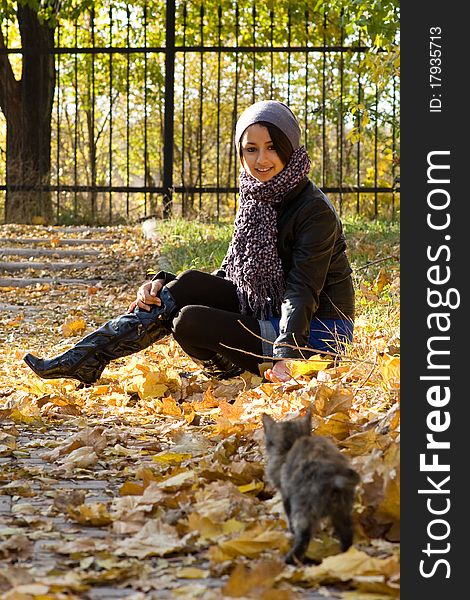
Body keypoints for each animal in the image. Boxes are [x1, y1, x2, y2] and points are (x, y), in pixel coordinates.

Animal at [262, 408, 358, 564]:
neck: (291, 444)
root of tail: (334, 476)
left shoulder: (286, 495)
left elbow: (288, 515)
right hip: (342, 511)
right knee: (347, 536)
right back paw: (344, 556)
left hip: (303, 509)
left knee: (303, 538)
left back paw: (290, 559)